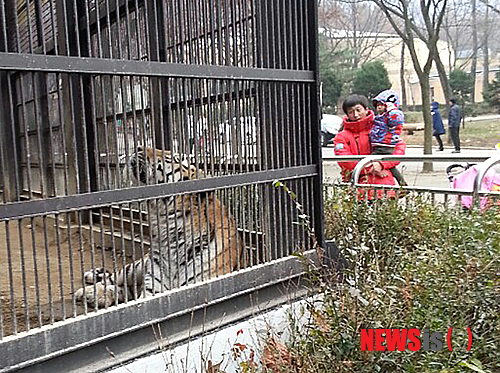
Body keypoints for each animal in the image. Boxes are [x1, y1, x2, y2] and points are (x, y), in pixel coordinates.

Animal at [74, 147, 244, 306]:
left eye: (173, 158)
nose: (138, 147)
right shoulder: (153, 289)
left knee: (124, 290)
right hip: (136, 266)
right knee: (113, 279)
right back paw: (87, 291)